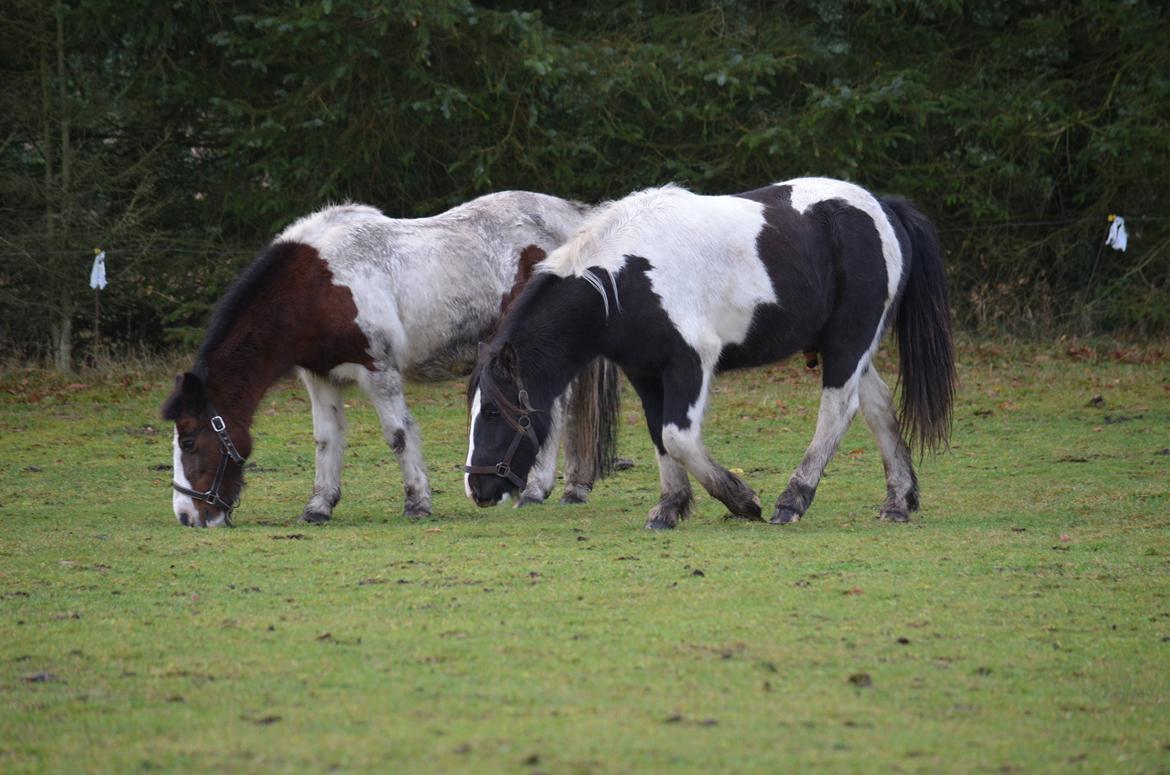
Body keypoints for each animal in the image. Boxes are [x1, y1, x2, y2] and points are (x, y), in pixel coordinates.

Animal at [166, 193, 622, 529]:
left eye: (188, 441)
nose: (187, 516)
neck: (317, 285)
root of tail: (573, 220)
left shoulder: (379, 371)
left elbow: (398, 434)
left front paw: (417, 503)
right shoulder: (320, 378)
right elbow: (326, 439)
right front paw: (319, 506)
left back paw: (535, 489)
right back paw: (573, 488)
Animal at [460, 176, 954, 531]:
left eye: (496, 413)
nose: (478, 488)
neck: (622, 281)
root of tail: (883, 207)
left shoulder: (690, 362)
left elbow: (678, 436)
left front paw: (742, 501)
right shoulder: (645, 372)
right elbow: (660, 435)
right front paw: (669, 508)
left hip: (848, 341)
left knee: (838, 410)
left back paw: (792, 499)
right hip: (850, 346)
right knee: (877, 405)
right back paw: (898, 501)